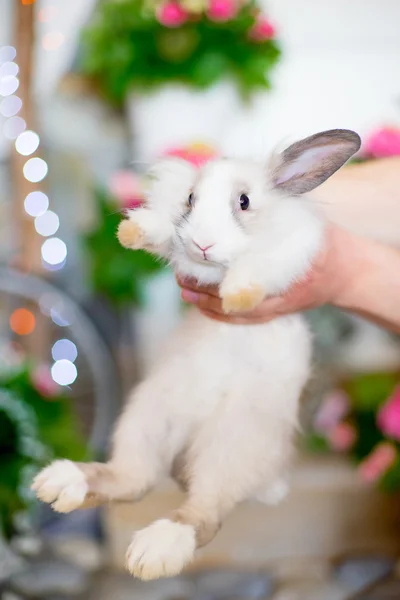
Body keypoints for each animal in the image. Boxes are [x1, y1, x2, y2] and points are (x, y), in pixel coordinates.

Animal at [32, 127, 360, 580]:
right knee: (133, 480)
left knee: (203, 513)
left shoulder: (290, 253)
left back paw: (154, 551)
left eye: (244, 201)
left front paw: (238, 295)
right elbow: (166, 236)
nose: (204, 243)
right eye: (190, 199)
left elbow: (258, 265)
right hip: (145, 420)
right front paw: (132, 233)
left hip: (230, 445)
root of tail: (189, 442)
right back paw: (61, 484)